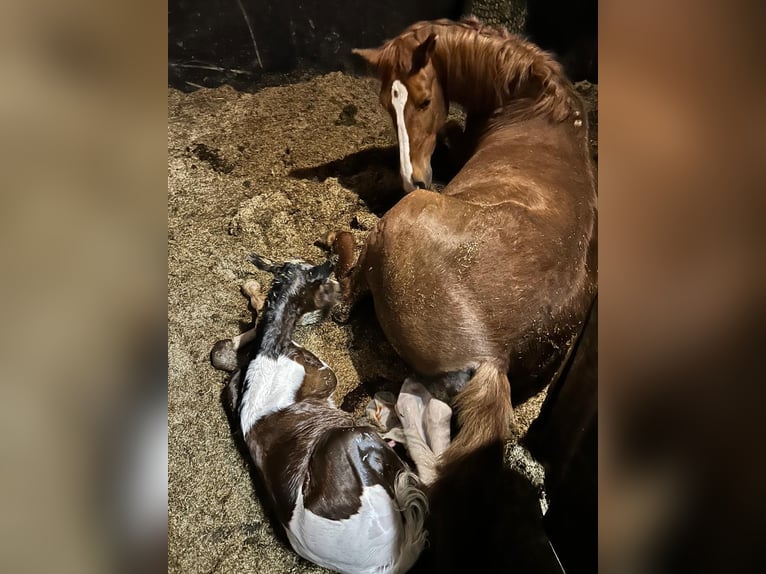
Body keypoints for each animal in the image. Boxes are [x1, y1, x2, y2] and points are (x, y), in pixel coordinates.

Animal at [212, 254, 436, 574]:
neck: (271, 352)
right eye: (323, 281)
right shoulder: (325, 375)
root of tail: (388, 561)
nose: (340, 289)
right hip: (354, 440)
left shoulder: (233, 387)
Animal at [340, 17, 597, 476]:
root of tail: (493, 357)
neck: (534, 105)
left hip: (400, 219)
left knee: (353, 288)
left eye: (424, 101)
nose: (412, 179)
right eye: (388, 107)